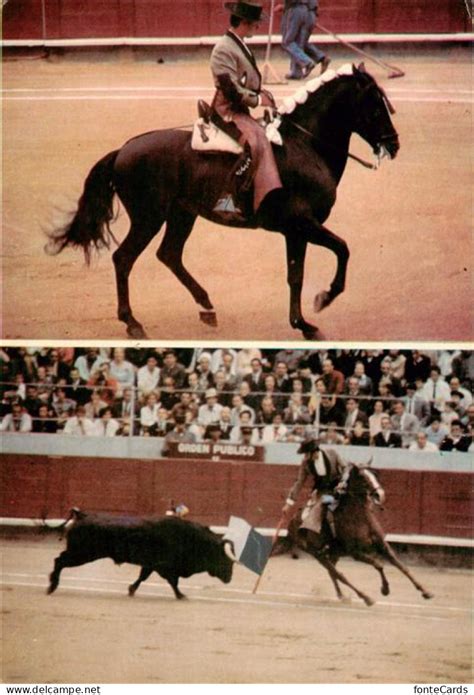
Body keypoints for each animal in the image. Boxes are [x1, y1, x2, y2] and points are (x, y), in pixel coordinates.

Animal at [45, 62, 400, 340]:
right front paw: (323, 299)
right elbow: (342, 249)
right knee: (124, 258)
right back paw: (133, 323)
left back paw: (207, 308)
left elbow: (295, 275)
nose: (394, 144)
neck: (304, 145)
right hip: (149, 218)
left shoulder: (296, 231)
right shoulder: (302, 224)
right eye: (374, 105)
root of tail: (123, 149)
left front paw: (303, 324)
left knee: (169, 254)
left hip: (181, 215)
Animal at [48, 508, 237, 600]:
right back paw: (52, 586)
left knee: (59, 560)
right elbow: (172, 582)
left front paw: (131, 589)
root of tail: (82, 515)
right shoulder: (164, 567)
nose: (229, 579)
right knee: (59, 560)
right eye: (226, 561)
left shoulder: (151, 565)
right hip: (81, 554)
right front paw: (181, 595)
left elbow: (143, 576)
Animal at [282, 464, 434, 608]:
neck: (360, 517)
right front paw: (385, 590)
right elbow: (379, 565)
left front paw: (426, 592)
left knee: (333, 573)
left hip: (334, 553)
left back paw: (342, 596)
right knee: (339, 574)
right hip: (318, 554)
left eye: (375, 475)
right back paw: (366, 598)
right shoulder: (355, 552)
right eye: (363, 477)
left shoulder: (382, 545)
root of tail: (291, 523)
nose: (380, 494)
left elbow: (401, 566)